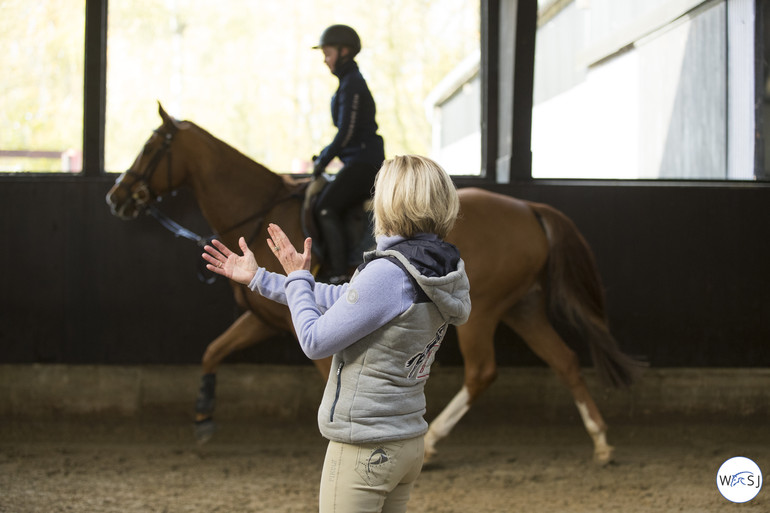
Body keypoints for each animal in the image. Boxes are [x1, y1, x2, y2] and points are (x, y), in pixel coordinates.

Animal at [105, 104, 640, 464]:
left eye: (151, 148)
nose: (116, 197)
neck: (258, 213)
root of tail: (528, 208)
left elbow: (324, 374)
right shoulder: (267, 318)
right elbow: (213, 350)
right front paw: (202, 417)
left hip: (485, 311)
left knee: (482, 372)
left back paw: (432, 441)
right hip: (522, 306)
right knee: (564, 361)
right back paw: (602, 442)